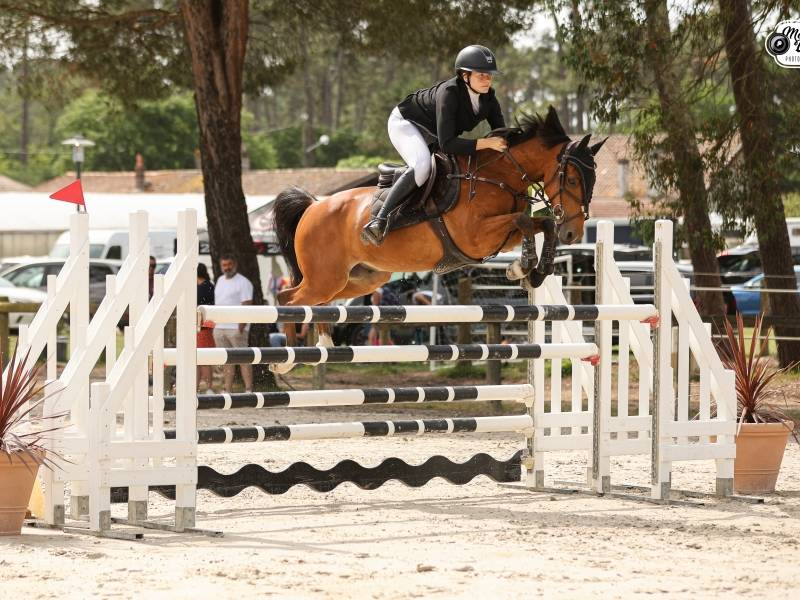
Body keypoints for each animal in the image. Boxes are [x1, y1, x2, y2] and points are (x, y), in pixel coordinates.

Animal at [271, 106, 605, 371]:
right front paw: (523, 267)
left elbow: (542, 224)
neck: (498, 175)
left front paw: (531, 271)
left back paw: (324, 343)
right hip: (325, 277)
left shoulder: (500, 237)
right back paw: (285, 361)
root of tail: (313, 206)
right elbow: (524, 220)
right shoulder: (476, 237)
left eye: (592, 182)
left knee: (320, 302)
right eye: (571, 179)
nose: (573, 233)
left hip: (362, 278)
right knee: (287, 298)